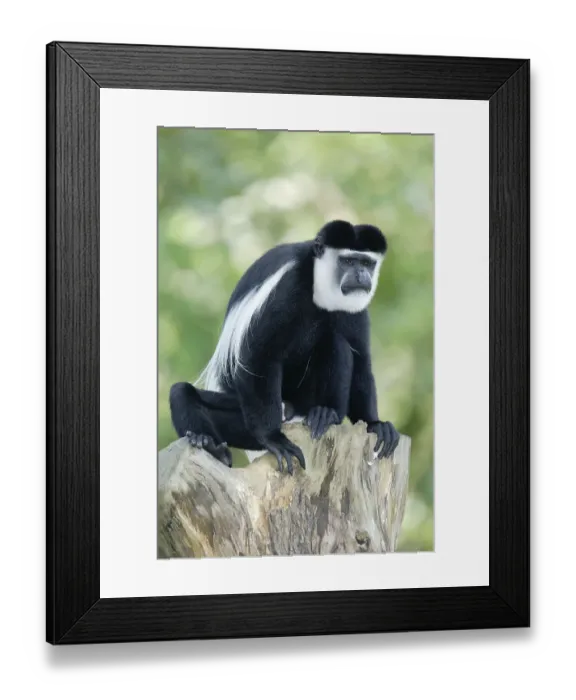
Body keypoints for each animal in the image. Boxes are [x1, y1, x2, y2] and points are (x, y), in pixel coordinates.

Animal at [169, 219, 400, 474]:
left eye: (367, 263)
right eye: (348, 261)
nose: (361, 275)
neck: (317, 283)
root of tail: (290, 412)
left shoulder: (356, 308)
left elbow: (361, 362)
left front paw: (375, 424)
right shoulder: (287, 287)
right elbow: (258, 356)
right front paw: (273, 439)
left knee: (336, 343)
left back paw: (325, 413)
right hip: (246, 416)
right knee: (181, 392)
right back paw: (208, 444)